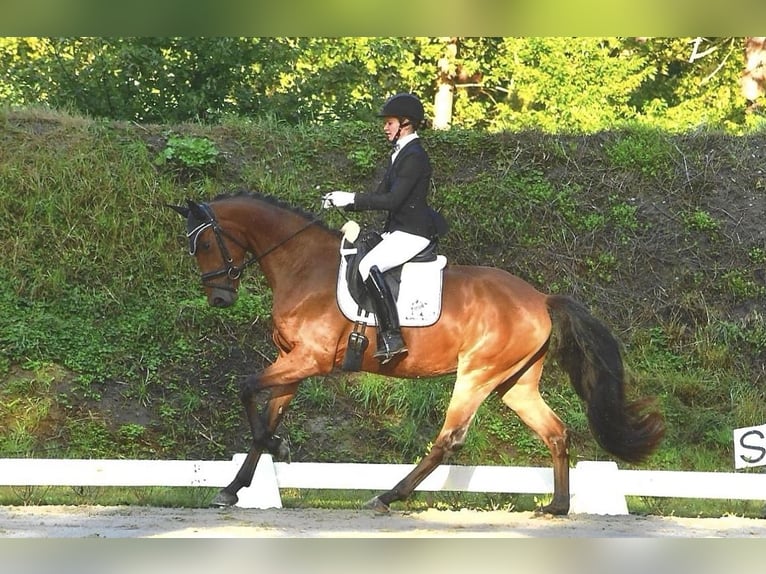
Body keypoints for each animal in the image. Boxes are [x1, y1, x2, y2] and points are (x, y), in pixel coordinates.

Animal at [170, 191, 664, 516]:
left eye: (207, 244)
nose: (220, 299)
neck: (303, 265)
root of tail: (540, 298)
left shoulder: (309, 359)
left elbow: (245, 388)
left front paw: (276, 450)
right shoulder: (293, 363)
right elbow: (264, 419)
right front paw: (234, 487)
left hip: (477, 375)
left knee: (449, 439)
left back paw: (388, 495)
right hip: (514, 384)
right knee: (556, 432)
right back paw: (557, 507)